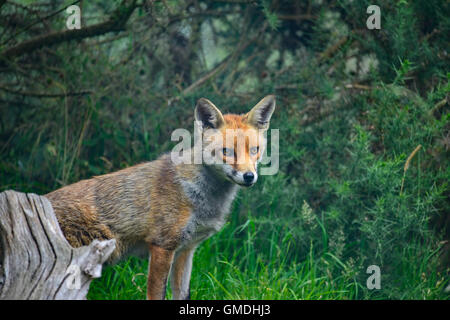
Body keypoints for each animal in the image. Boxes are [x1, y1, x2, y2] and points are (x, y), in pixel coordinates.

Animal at [47, 94, 276, 298]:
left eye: (254, 150)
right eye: (227, 151)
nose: (249, 176)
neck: (198, 195)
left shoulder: (186, 249)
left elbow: (182, 294)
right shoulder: (162, 246)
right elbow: (157, 294)